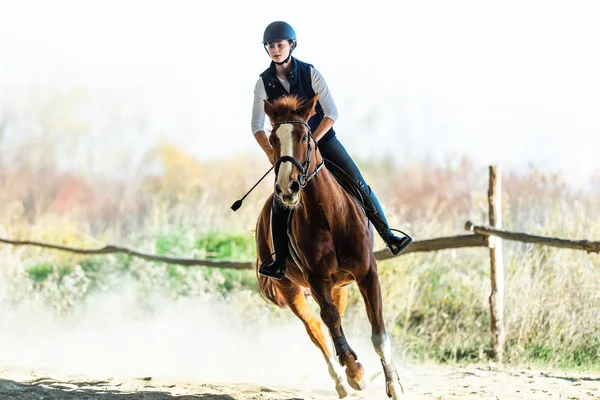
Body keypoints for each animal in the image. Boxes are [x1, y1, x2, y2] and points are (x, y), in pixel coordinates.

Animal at [255, 94, 406, 400]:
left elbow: (378, 333)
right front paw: (355, 373)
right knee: (316, 328)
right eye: (273, 140)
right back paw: (341, 381)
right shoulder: (316, 280)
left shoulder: (367, 273)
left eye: (304, 137)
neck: (328, 215)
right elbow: (329, 319)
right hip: (289, 286)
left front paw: (393, 384)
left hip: (341, 285)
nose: (287, 189)